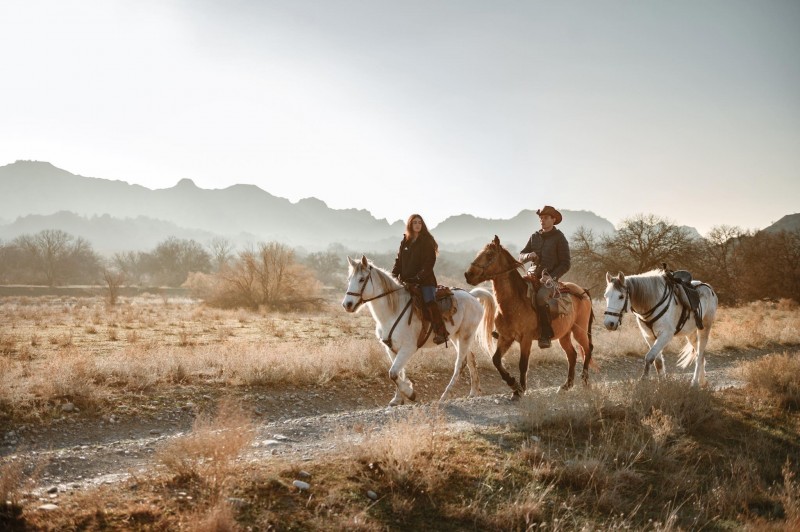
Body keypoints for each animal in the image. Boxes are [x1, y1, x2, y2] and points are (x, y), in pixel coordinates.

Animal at [342, 256, 496, 406]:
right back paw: (474, 392)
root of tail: (472, 296)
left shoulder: (408, 348)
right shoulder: (391, 349)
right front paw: (398, 399)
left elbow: (393, 373)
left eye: (362, 279)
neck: (393, 312)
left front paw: (410, 393)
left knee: (459, 364)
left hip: (465, 336)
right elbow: (397, 373)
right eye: (349, 279)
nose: (347, 304)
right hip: (456, 337)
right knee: (469, 359)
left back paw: (445, 396)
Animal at [462, 235, 592, 396]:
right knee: (572, 355)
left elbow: (523, 364)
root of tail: (582, 291)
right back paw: (566, 385)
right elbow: (496, 360)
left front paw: (520, 389)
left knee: (588, 349)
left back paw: (585, 380)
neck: (514, 302)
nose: (468, 274)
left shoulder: (526, 339)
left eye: (490, 255)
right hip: (564, 335)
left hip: (579, 331)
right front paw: (513, 383)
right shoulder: (505, 338)